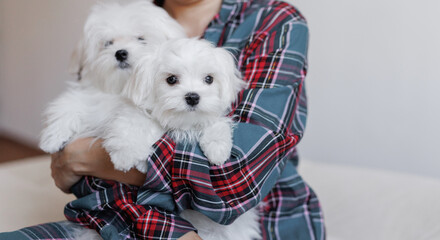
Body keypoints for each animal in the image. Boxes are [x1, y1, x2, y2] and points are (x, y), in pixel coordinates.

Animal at [38, 0, 185, 155]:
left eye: (141, 39)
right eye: (108, 43)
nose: (120, 53)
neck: (122, 87)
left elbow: (135, 120)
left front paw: (127, 149)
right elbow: (69, 103)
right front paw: (53, 136)